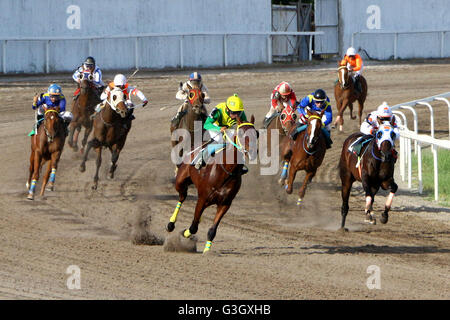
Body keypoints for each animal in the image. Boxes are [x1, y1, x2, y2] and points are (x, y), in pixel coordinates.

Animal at [166, 116, 258, 254]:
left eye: (257, 134)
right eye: (241, 133)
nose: (252, 152)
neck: (226, 171)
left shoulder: (225, 203)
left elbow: (212, 230)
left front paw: (207, 252)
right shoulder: (202, 198)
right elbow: (193, 227)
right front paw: (185, 233)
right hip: (180, 182)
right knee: (182, 197)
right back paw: (171, 224)